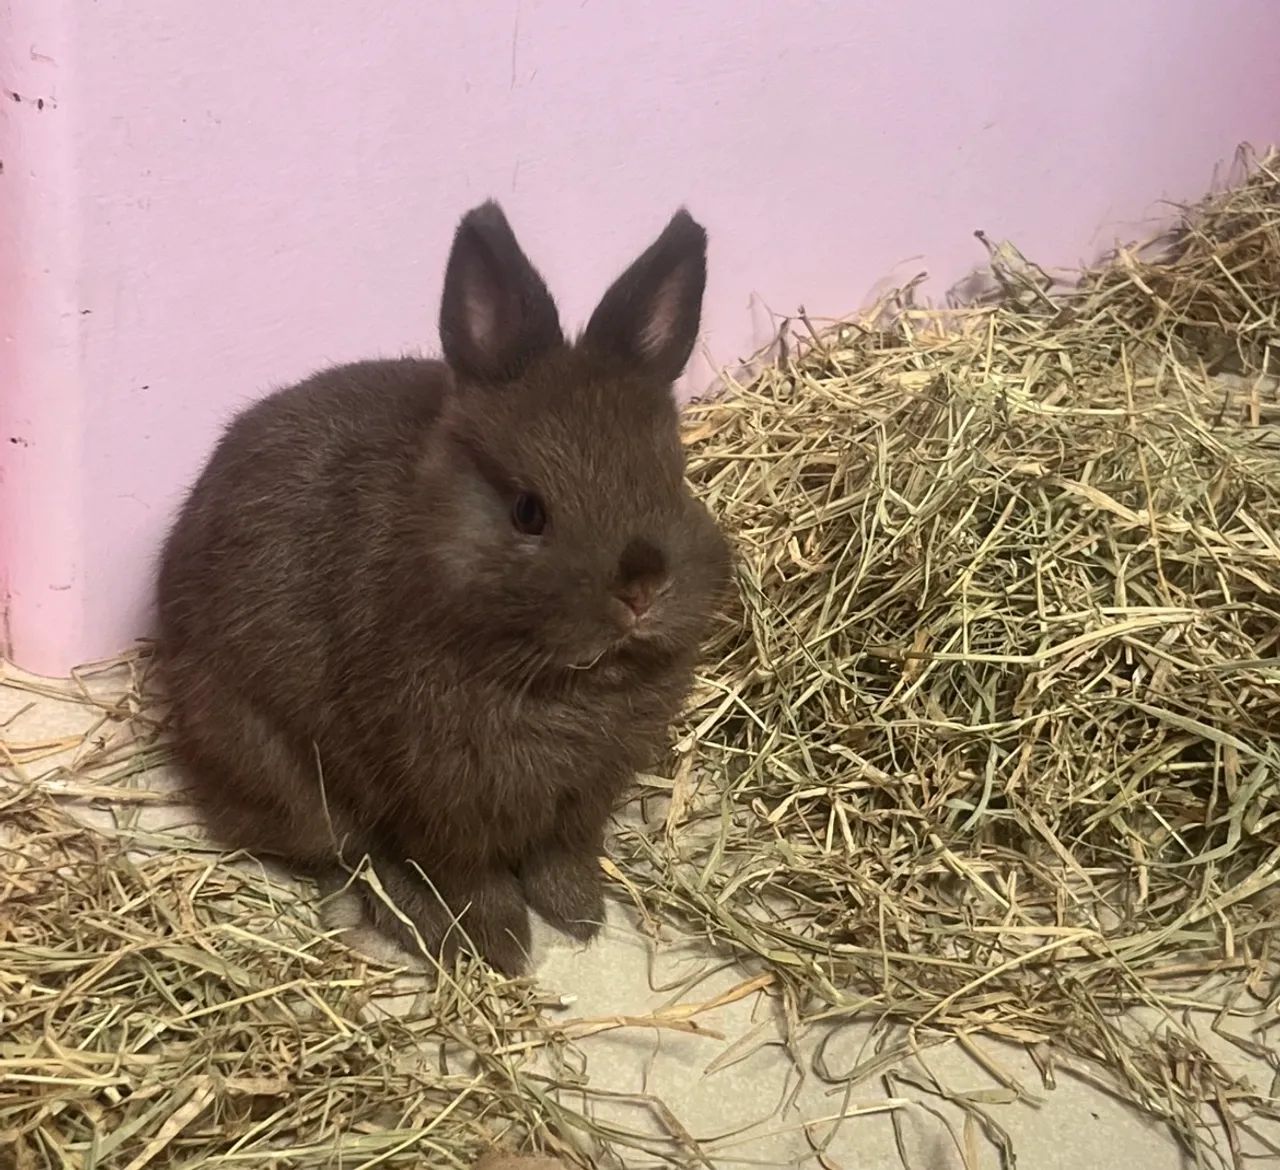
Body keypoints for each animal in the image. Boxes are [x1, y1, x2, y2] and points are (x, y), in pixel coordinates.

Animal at [155, 200, 732, 975]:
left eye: (673, 477)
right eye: (528, 510)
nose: (640, 590)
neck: (566, 685)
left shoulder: (582, 801)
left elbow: (563, 854)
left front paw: (579, 914)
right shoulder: (442, 798)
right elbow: (467, 874)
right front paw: (503, 945)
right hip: (286, 775)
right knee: (350, 854)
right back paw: (423, 924)